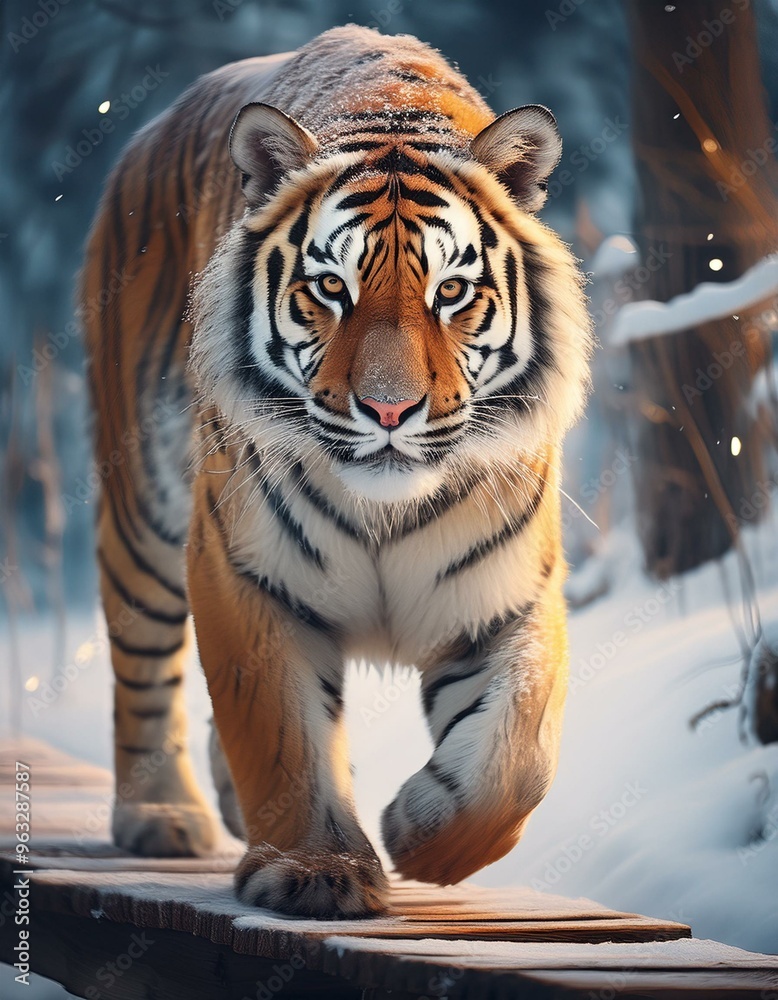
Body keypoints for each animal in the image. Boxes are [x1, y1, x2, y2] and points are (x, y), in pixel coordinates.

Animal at [82, 24, 592, 919]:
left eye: (451, 292)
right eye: (330, 287)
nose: (389, 411)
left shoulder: (503, 597)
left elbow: (515, 755)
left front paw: (419, 831)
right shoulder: (245, 575)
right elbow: (282, 735)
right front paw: (314, 870)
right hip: (144, 511)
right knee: (142, 665)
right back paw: (162, 815)